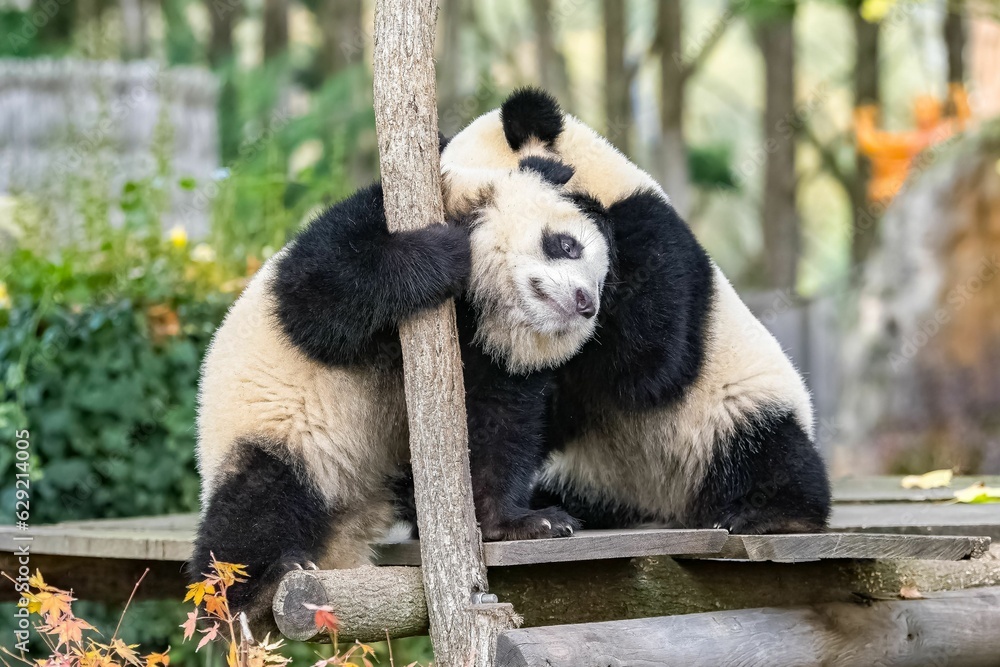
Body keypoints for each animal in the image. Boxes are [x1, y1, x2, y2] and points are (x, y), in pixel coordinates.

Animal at [191, 91, 612, 629]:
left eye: (603, 282)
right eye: (566, 245)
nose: (586, 304)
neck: (482, 305)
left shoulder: (489, 357)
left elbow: (497, 427)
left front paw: (524, 521)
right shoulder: (375, 215)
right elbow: (319, 294)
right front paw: (446, 252)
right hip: (279, 430)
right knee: (258, 499)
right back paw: (254, 586)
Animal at [444, 88, 831, 534]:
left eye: (476, 197)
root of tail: (665, 504)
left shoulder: (650, 231)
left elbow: (648, 360)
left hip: (736, 407)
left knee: (774, 451)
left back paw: (767, 513)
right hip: (588, 468)